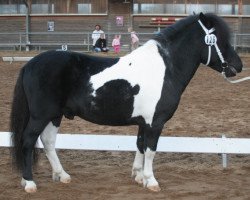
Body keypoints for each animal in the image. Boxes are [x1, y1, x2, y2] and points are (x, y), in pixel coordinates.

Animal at [10, 12, 242, 192]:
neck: (165, 69)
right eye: (218, 38)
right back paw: (29, 183)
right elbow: (151, 149)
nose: (238, 66)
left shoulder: (143, 122)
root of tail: (30, 64)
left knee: (48, 142)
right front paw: (151, 181)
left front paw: (139, 176)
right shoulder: (155, 123)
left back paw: (62, 175)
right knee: (28, 141)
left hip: (55, 115)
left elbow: (140, 146)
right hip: (40, 115)